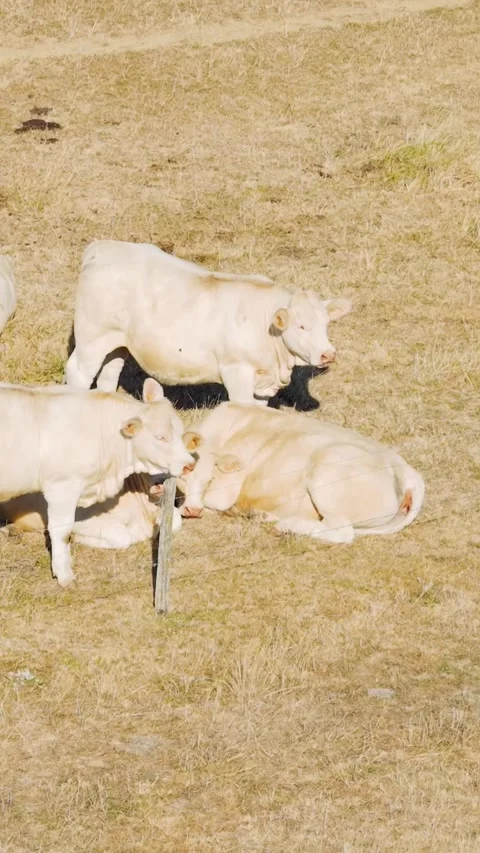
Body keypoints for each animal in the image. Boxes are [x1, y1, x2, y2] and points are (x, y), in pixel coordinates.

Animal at [65, 240, 352, 405]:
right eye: (301, 326)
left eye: (326, 325)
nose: (328, 354)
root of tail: (102, 247)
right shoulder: (236, 371)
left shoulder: (261, 382)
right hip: (91, 339)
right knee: (79, 373)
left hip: (116, 342)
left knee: (109, 373)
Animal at [180, 404, 425, 541]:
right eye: (182, 477)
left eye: (209, 479)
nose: (192, 510)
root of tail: (409, 474)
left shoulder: (225, 491)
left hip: (328, 473)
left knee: (343, 532)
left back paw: (287, 527)